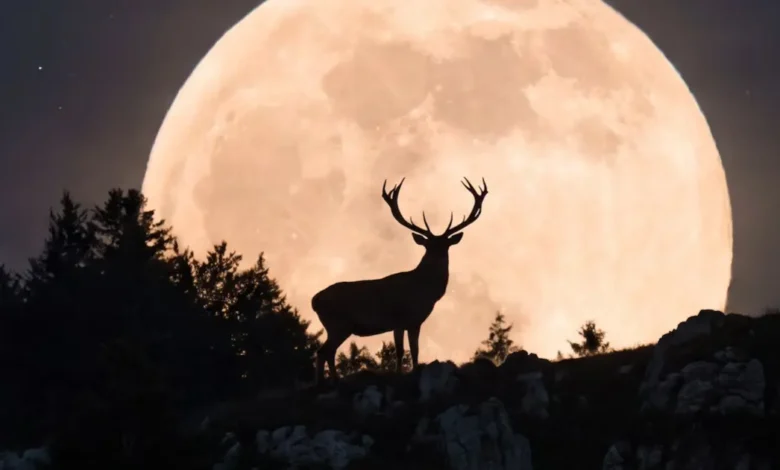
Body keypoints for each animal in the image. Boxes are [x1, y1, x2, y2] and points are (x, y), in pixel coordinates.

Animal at [311, 177, 488, 384]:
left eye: (446, 246)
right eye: (428, 246)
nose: (437, 258)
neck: (422, 291)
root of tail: (314, 300)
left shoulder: (416, 321)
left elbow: (415, 350)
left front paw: (415, 370)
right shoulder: (398, 319)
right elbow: (400, 351)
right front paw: (398, 374)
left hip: (338, 327)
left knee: (328, 352)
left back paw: (334, 379)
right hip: (338, 324)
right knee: (322, 352)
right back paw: (323, 382)